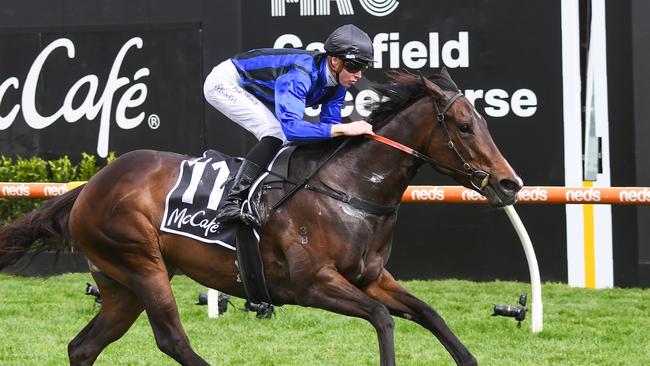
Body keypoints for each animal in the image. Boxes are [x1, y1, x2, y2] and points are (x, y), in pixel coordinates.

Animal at [0, 70, 520, 364]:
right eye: (465, 126)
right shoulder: (312, 284)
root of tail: (89, 186)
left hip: (120, 286)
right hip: (141, 264)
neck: (350, 190)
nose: (510, 184)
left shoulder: (372, 278)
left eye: (484, 122)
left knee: (83, 347)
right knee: (172, 341)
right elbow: (381, 320)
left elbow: (429, 314)